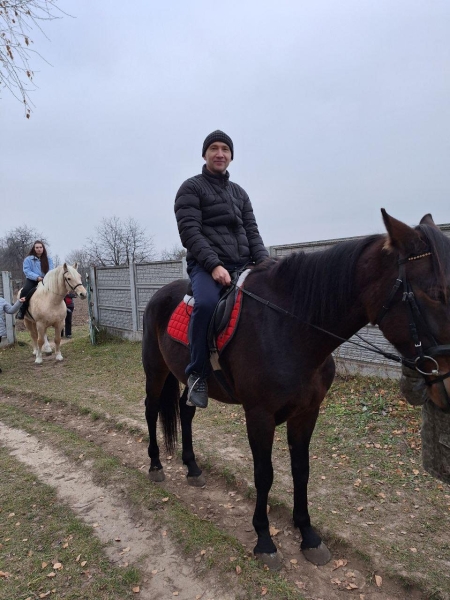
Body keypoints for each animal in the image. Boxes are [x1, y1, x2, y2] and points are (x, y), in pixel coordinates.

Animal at [143, 211, 450, 568]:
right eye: (435, 293)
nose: (446, 385)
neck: (290, 327)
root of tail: (159, 295)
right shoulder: (259, 416)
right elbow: (264, 474)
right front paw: (264, 540)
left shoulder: (306, 412)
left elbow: (301, 470)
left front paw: (308, 535)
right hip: (155, 370)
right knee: (151, 410)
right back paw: (155, 466)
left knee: (186, 408)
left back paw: (192, 467)